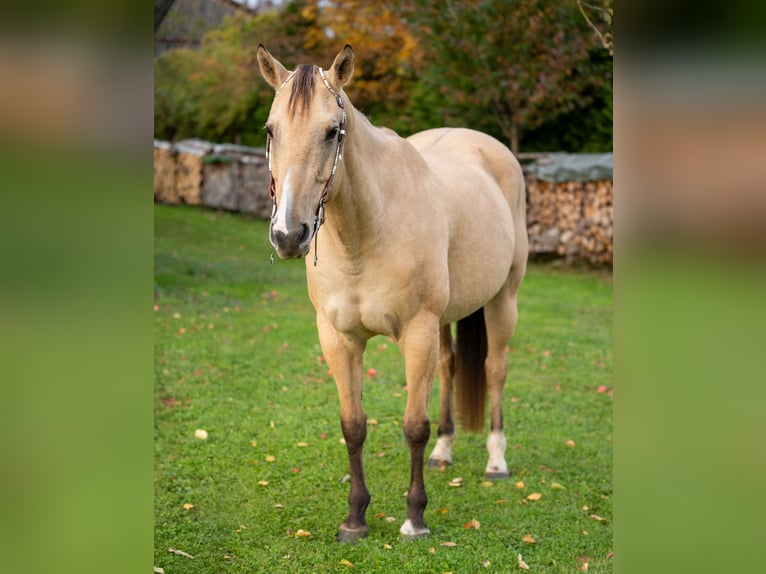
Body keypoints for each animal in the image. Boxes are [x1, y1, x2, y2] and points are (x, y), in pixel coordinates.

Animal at [256, 44, 528, 542]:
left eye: (332, 131)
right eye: (270, 130)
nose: (288, 234)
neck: (367, 232)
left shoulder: (417, 333)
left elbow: (413, 426)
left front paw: (414, 518)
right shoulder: (338, 339)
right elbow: (353, 426)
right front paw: (355, 518)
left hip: (503, 302)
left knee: (495, 370)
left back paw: (496, 461)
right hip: (446, 320)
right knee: (450, 366)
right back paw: (444, 452)